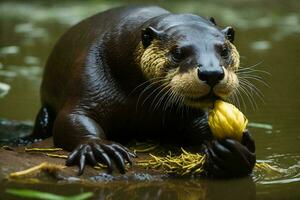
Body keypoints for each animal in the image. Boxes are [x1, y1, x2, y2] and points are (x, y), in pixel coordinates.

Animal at [30, 5, 255, 178]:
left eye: (224, 50)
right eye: (177, 52)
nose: (211, 73)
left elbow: (201, 124)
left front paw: (236, 152)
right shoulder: (89, 76)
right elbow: (71, 117)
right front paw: (99, 147)